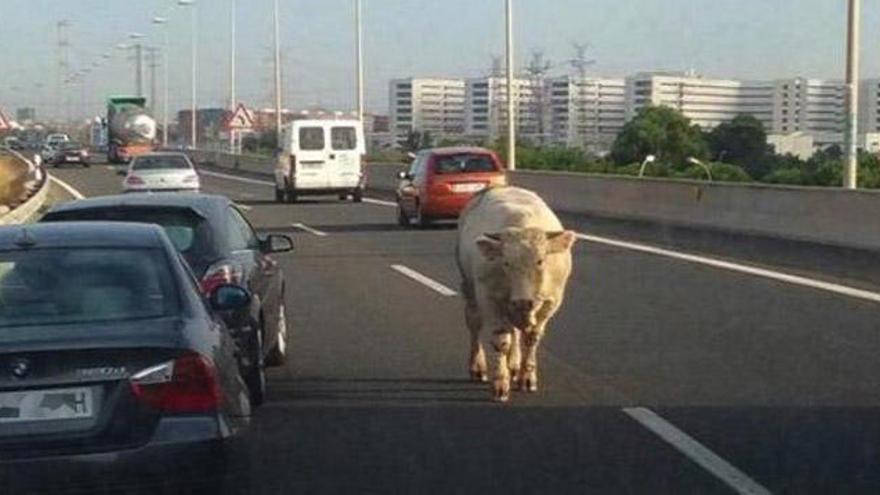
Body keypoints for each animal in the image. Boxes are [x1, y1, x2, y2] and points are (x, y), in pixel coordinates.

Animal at [454, 186, 576, 404]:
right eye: (506, 263)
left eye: (540, 261)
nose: (523, 301)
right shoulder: (490, 300)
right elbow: (501, 341)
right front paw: (500, 384)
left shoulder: (551, 303)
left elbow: (531, 338)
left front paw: (527, 377)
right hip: (470, 290)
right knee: (475, 325)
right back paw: (477, 366)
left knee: (516, 331)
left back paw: (515, 365)